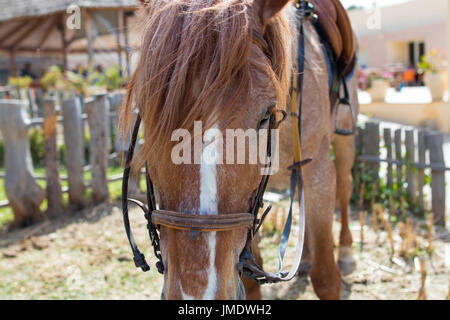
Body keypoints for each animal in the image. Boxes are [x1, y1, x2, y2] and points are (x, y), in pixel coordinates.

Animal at [122, 0, 358, 300]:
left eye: (265, 115)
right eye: (149, 114)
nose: (198, 293)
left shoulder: (318, 174)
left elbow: (326, 278)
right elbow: (250, 281)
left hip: (344, 140)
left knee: (346, 186)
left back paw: (347, 251)